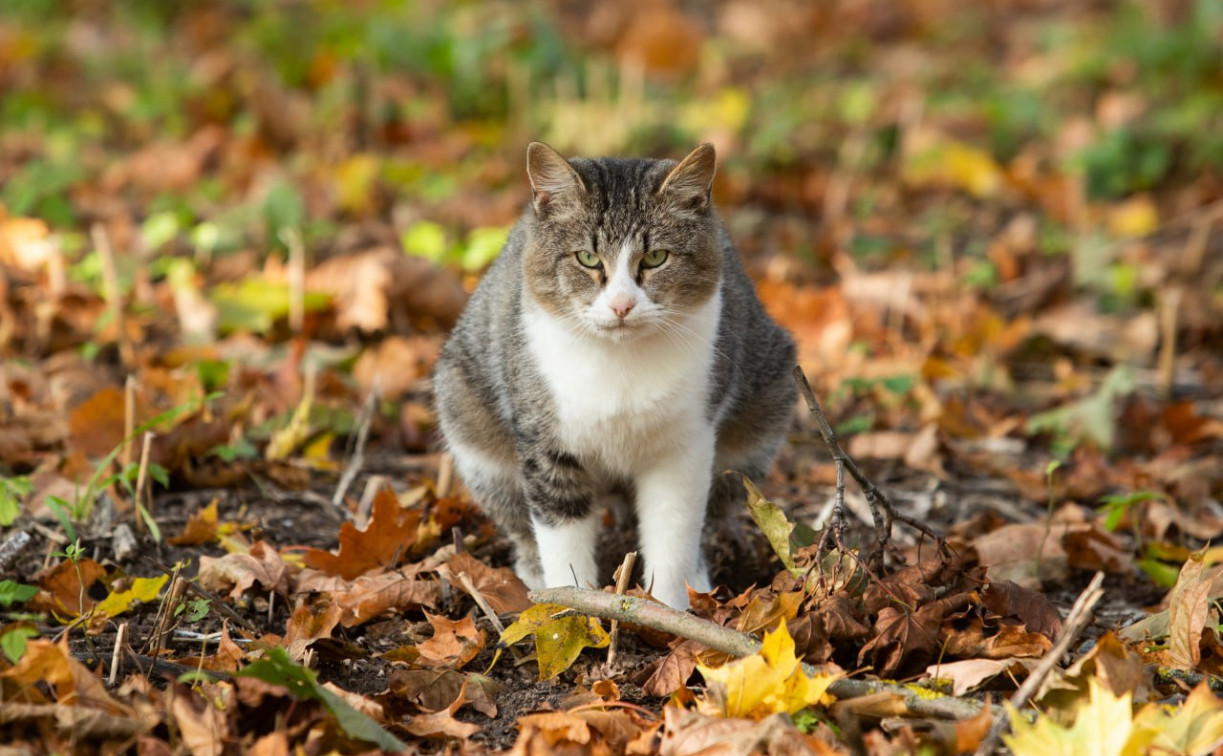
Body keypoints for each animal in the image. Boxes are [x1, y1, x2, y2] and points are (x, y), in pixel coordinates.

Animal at [435, 144, 797, 609]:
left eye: (656, 257)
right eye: (588, 258)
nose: (622, 305)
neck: (620, 361)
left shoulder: (686, 443)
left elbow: (674, 530)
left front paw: (671, 609)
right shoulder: (545, 439)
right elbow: (561, 535)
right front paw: (569, 606)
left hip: (761, 419)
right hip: (473, 433)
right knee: (517, 519)